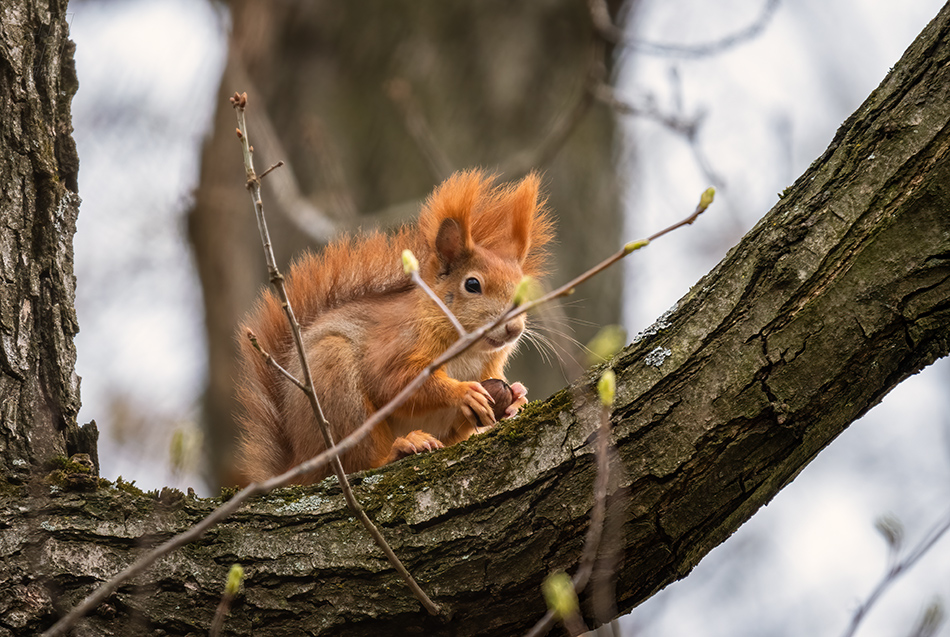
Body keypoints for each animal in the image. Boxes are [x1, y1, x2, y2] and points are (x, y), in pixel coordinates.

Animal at [233, 169, 556, 482]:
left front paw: (517, 398)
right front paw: (463, 392)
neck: (469, 349)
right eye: (472, 285)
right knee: (358, 462)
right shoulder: (399, 342)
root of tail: (299, 465)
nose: (514, 329)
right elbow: (393, 382)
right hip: (336, 386)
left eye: (524, 289)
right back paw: (400, 448)